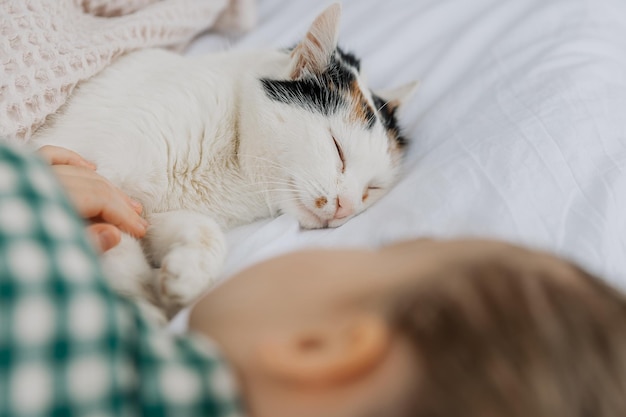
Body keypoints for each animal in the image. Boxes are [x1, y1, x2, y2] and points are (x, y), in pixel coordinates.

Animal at [31, 4, 416, 322]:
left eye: (371, 190)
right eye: (338, 149)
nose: (345, 206)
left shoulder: (141, 210)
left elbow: (199, 230)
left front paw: (186, 274)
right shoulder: (85, 166)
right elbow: (111, 241)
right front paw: (142, 308)